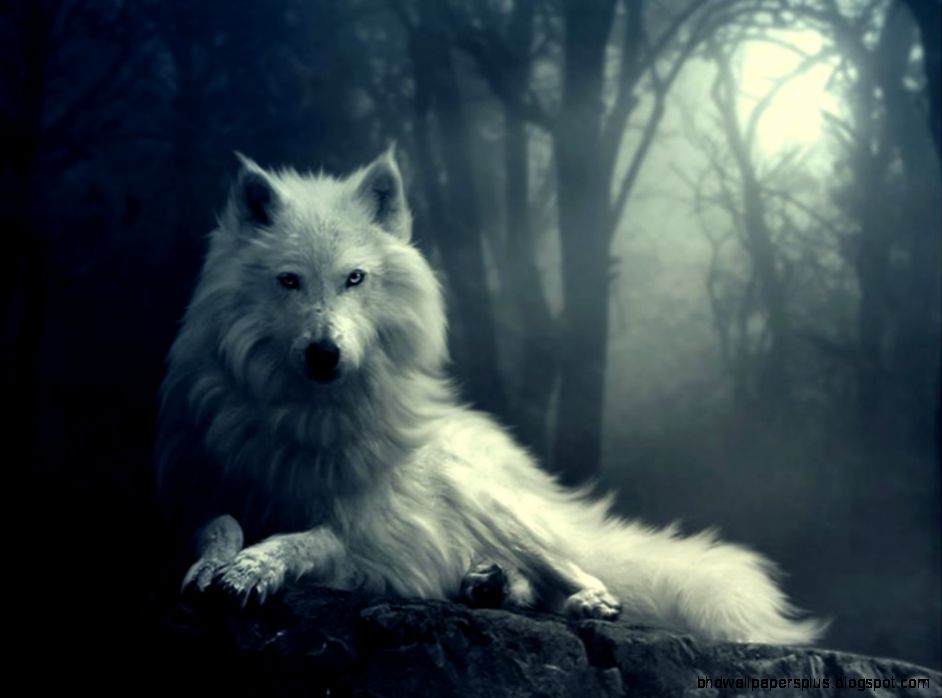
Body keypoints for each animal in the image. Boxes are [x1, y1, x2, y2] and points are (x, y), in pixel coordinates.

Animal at [156, 149, 824, 644]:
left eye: (355, 279)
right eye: (289, 281)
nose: (325, 354)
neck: (308, 416)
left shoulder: (368, 534)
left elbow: (305, 539)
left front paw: (253, 568)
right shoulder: (197, 490)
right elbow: (218, 524)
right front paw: (215, 565)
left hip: (493, 504)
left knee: (577, 570)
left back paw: (584, 599)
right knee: (521, 581)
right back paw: (488, 584)